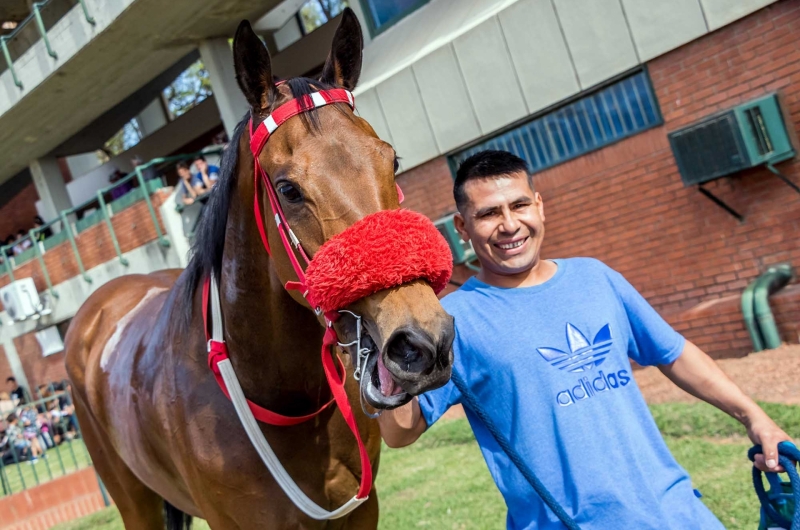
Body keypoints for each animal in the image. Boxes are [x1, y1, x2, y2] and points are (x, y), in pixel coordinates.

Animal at [65, 10, 454, 524]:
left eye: (392, 160)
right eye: (288, 189)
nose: (422, 342)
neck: (283, 398)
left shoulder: (359, 511)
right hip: (132, 499)